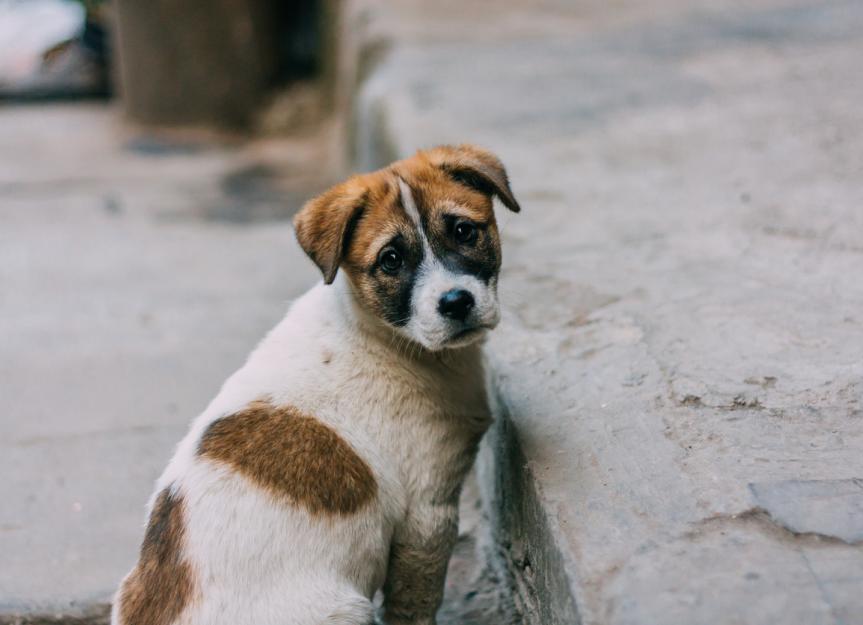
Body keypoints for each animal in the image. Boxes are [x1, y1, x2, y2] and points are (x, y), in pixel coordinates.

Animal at [113, 145, 520, 624]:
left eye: (463, 231)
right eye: (391, 260)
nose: (456, 302)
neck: (385, 337)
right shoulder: (427, 514)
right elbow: (414, 605)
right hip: (344, 608)